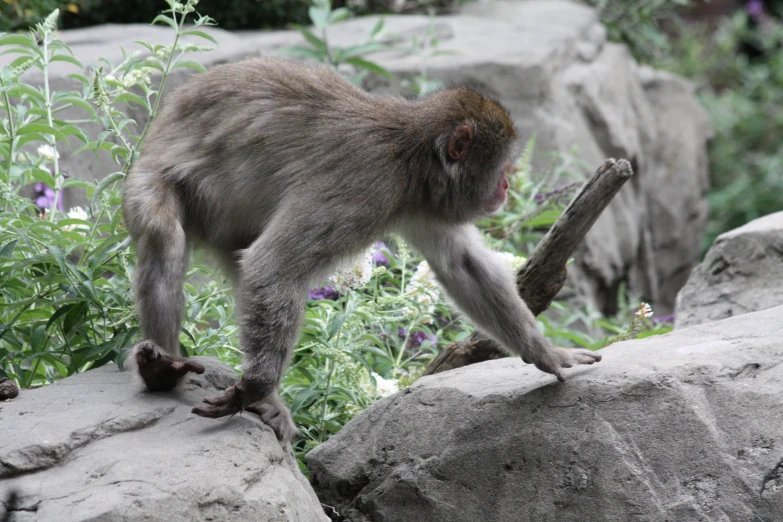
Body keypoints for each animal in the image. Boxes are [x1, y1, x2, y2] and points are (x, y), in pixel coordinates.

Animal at [122, 57, 604, 440]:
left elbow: (462, 266)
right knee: (166, 237)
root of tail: (164, 117)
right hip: (148, 177)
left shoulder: (425, 206)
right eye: (502, 166)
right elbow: (274, 267)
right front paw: (255, 386)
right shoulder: (366, 187)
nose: (505, 187)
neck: (410, 159)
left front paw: (546, 352)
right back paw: (162, 372)